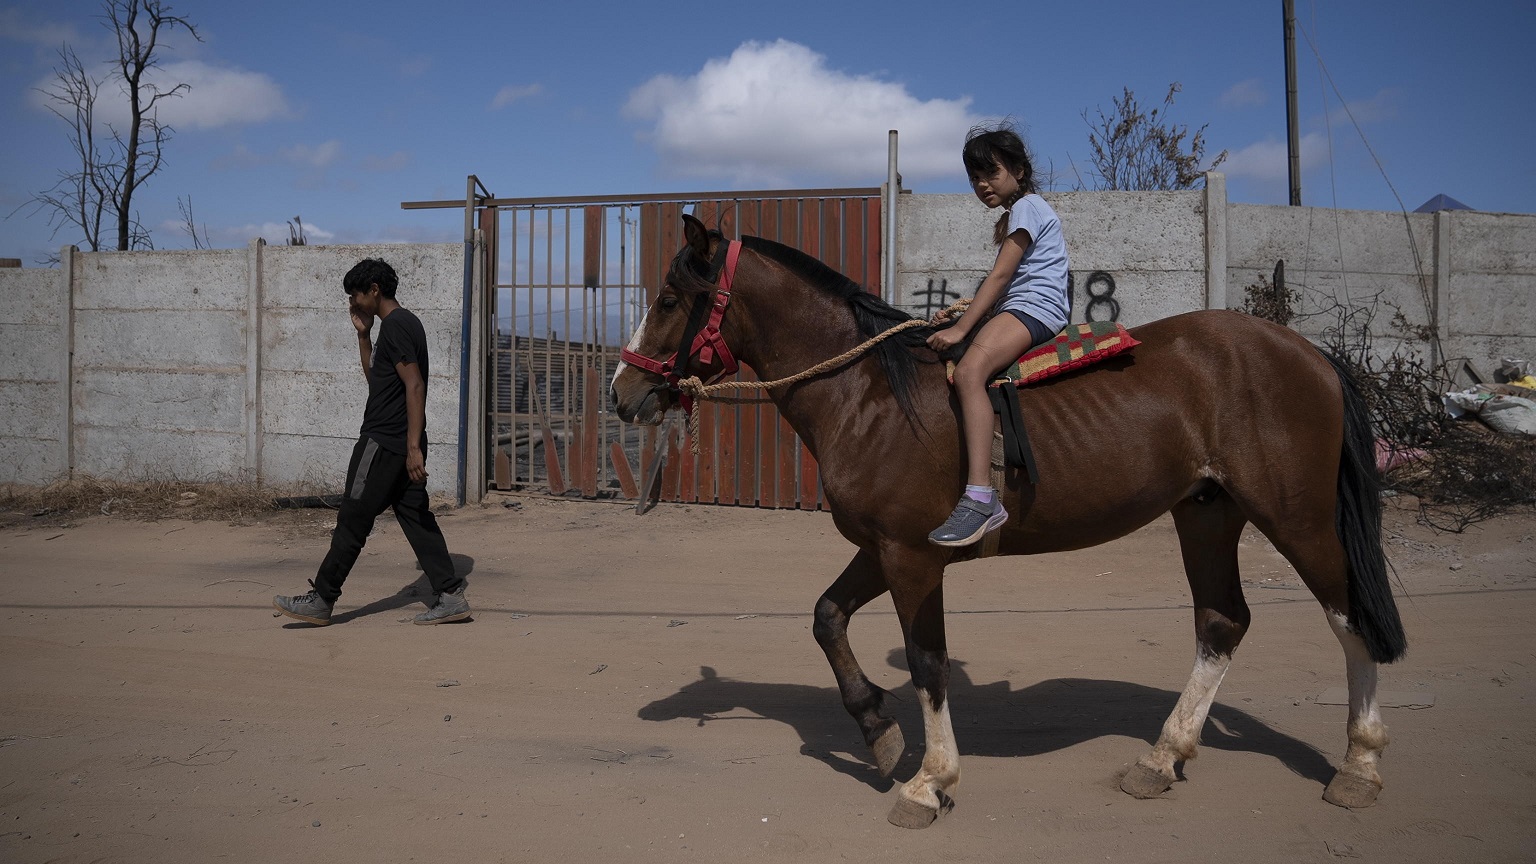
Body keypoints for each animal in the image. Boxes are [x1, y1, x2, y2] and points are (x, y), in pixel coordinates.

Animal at [610, 214, 1407, 829]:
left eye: (671, 297)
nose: (622, 392)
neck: (868, 394)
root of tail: (1307, 352)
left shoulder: (911, 557)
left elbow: (928, 661)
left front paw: (929, 781)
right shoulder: (881, 548)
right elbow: (826, 617)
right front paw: (877, 731)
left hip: (1297, 518)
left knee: (1349, 619)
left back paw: (1361, 764)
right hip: (1208, 514)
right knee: (1222, 622)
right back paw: (1162, 757)